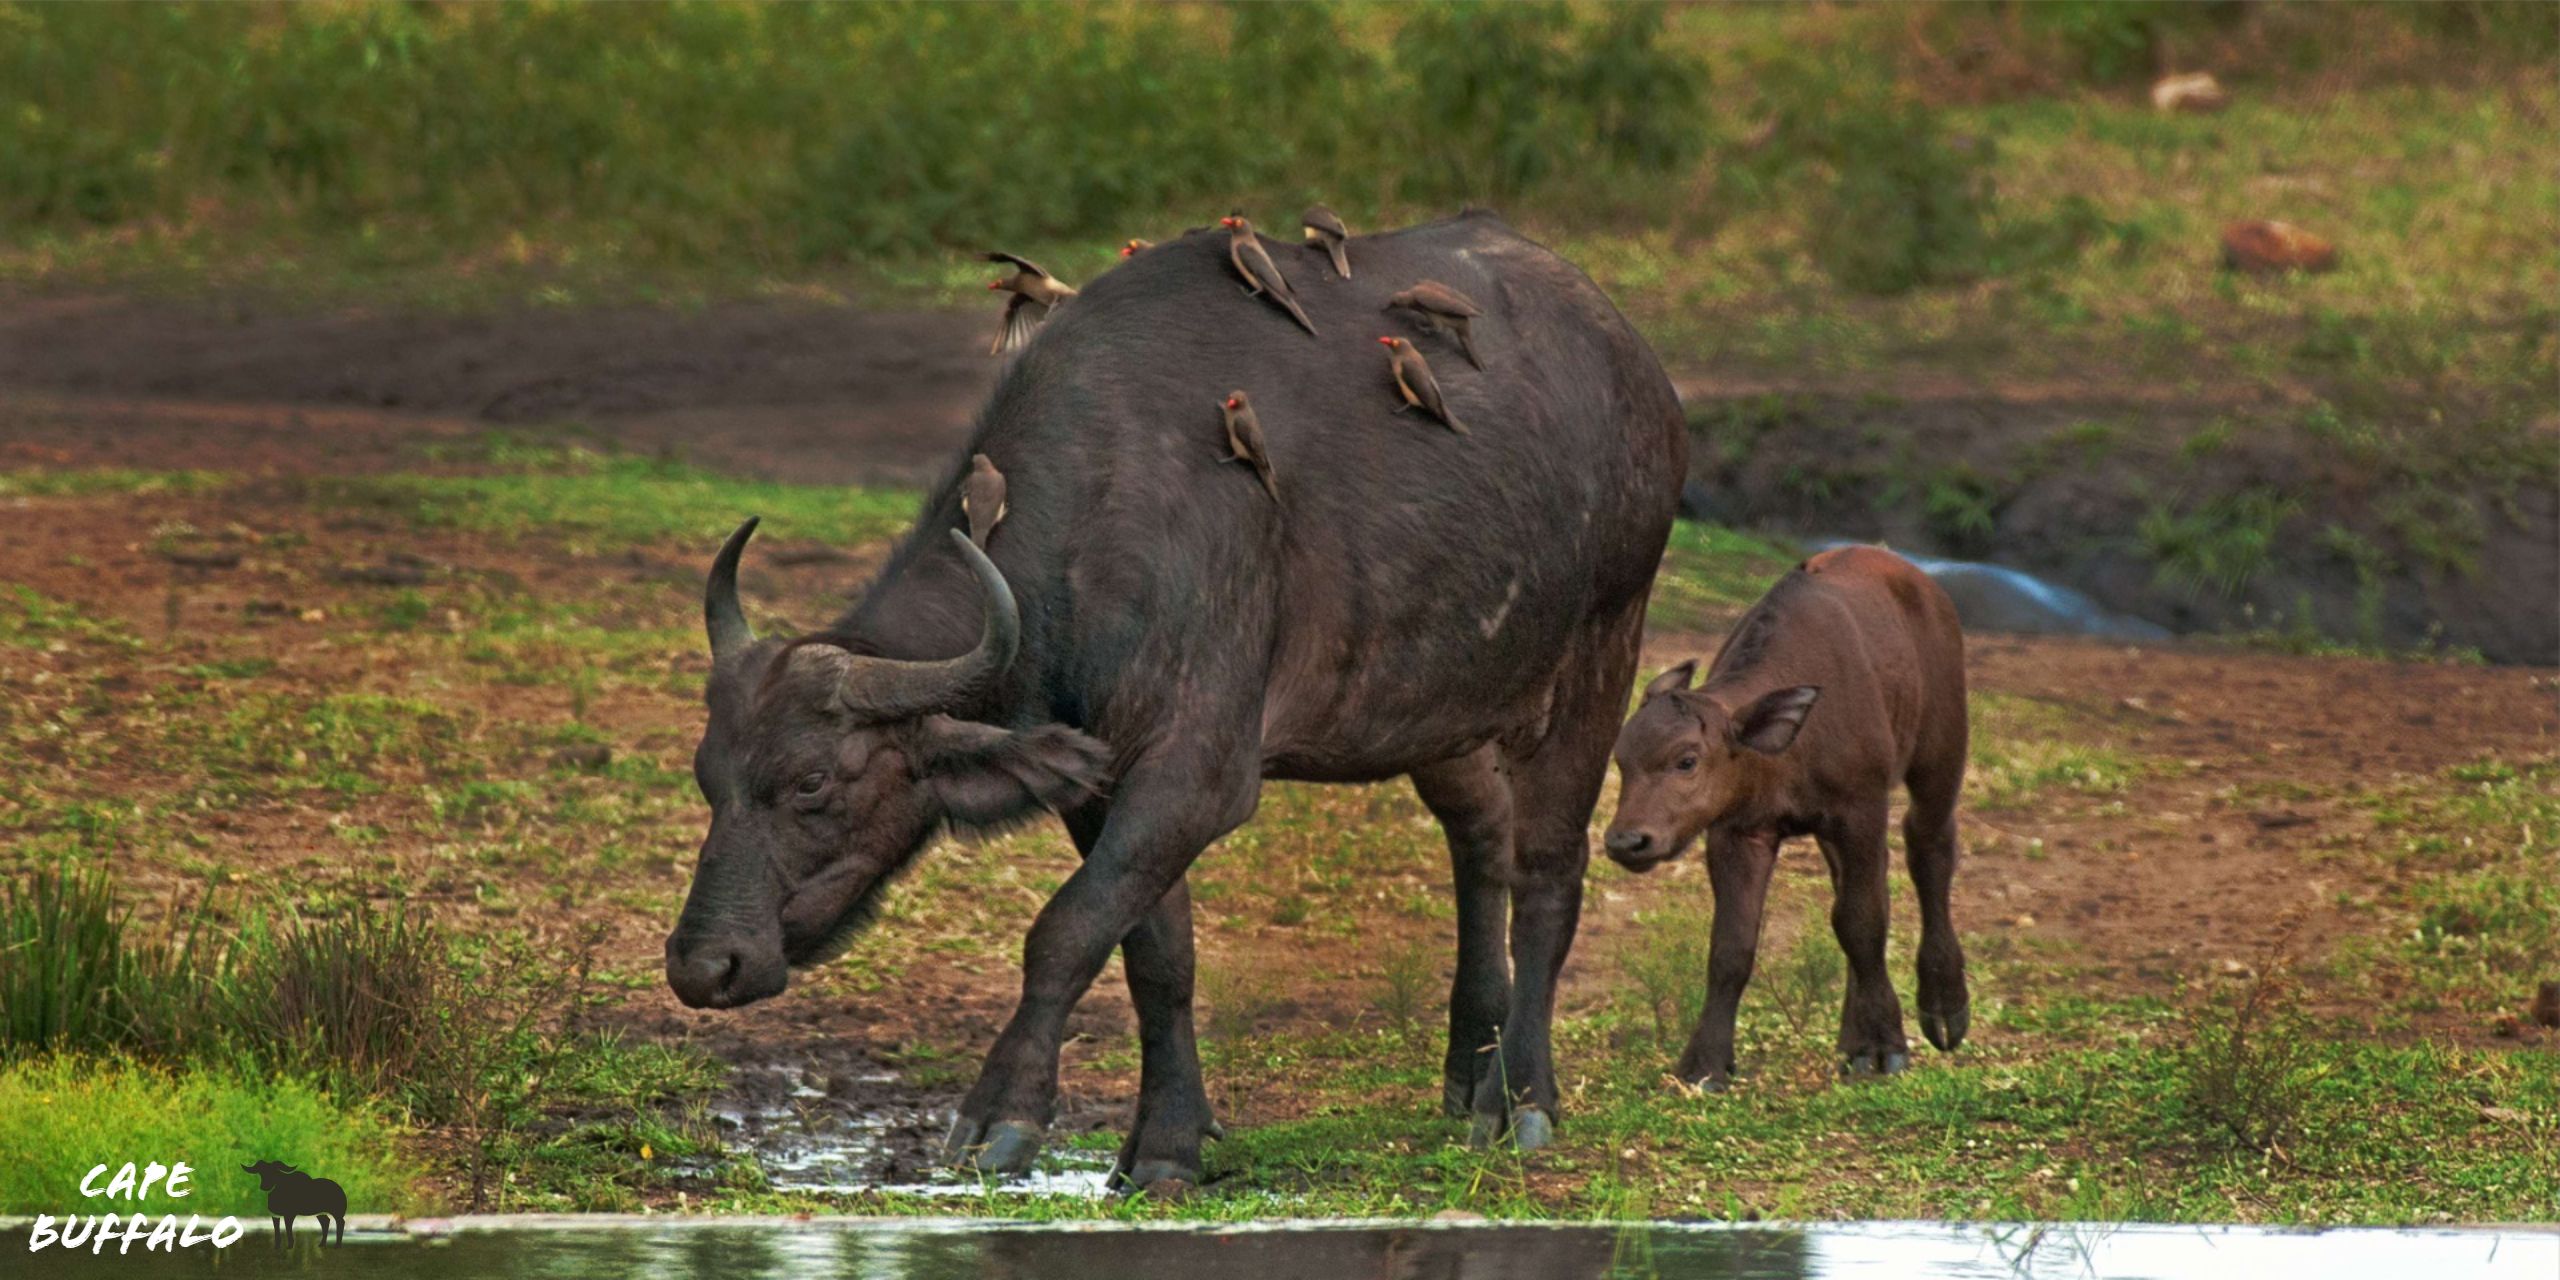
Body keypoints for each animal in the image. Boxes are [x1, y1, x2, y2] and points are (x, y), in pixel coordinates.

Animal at [670, 209, 1689, 1187]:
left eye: (812, 783)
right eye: (708, 778)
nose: (704, 965)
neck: (1100, 520)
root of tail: (1634, 363)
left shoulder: (1197, 774)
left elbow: (1065, 929)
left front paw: (1001, 1116)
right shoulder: (1099, 783)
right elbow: (1154, 954)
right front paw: (1167, 1142)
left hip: (1603, 645)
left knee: (1548, 869)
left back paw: (1519, 1100)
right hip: (1443, 704)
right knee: (1480, 839)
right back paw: (1468, 1067)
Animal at [1607, 542, 1966, 1090]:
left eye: (1686, 760)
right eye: (1621, 761)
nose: (1627, 841)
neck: (1789, 748)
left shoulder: (1860, 810)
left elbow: (1861, 921)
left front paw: (1883, 1045)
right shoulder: (1737, 832)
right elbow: (1731, 945)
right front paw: (1705, 1062)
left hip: (1940, 754)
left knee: (1929, 849)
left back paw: (1944, 1007)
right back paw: (1850, 1037)